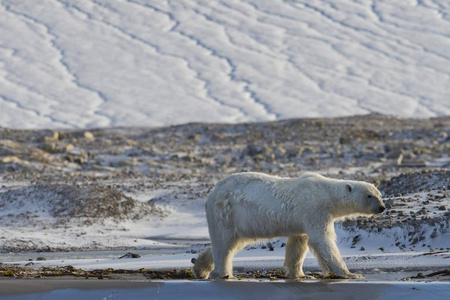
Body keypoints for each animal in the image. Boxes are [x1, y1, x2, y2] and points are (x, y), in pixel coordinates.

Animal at [192, 172, 384, 280]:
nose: (382, 207)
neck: (326, 192)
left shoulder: (302, 220)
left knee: (234, 242)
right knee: (224, 243)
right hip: (226, 213)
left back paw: (200, 268)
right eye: (369, 196)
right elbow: (322, 240)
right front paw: (351, 274)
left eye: (379, 194)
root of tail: (213, 192)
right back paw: (223, 273)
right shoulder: (314, 209)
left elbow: (298, 244)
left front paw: (300, 274)